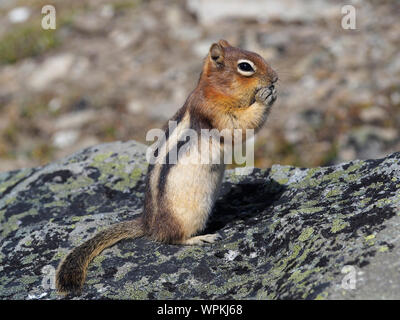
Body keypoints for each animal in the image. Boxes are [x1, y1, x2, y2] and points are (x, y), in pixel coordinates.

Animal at [56, 40, 278, 296]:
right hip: (188, 216)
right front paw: (265, 97)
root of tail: (149, 224)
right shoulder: (216, 113)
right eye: (245, 67)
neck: (213, 89)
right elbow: (241, 125)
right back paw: (199, 239)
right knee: (170, 239)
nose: (275, 77)